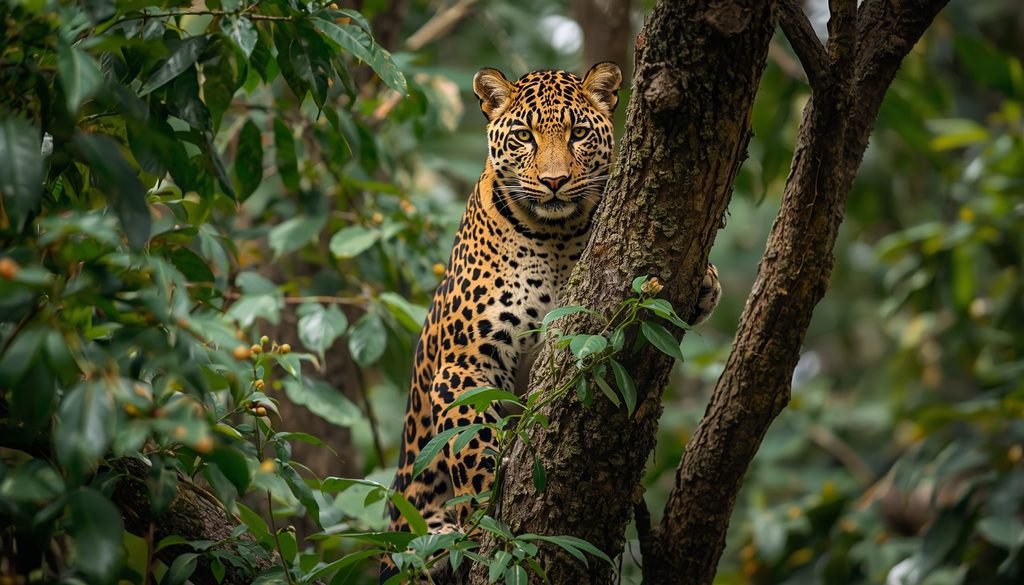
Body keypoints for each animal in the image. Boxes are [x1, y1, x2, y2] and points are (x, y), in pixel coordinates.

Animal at [381, 63, 722, 582]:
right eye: (524, 136)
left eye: (578, 133)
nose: (556, 181)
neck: (556, 234)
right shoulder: (464, 366)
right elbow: (471, 441)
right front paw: (484, 520)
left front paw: (705, 280)